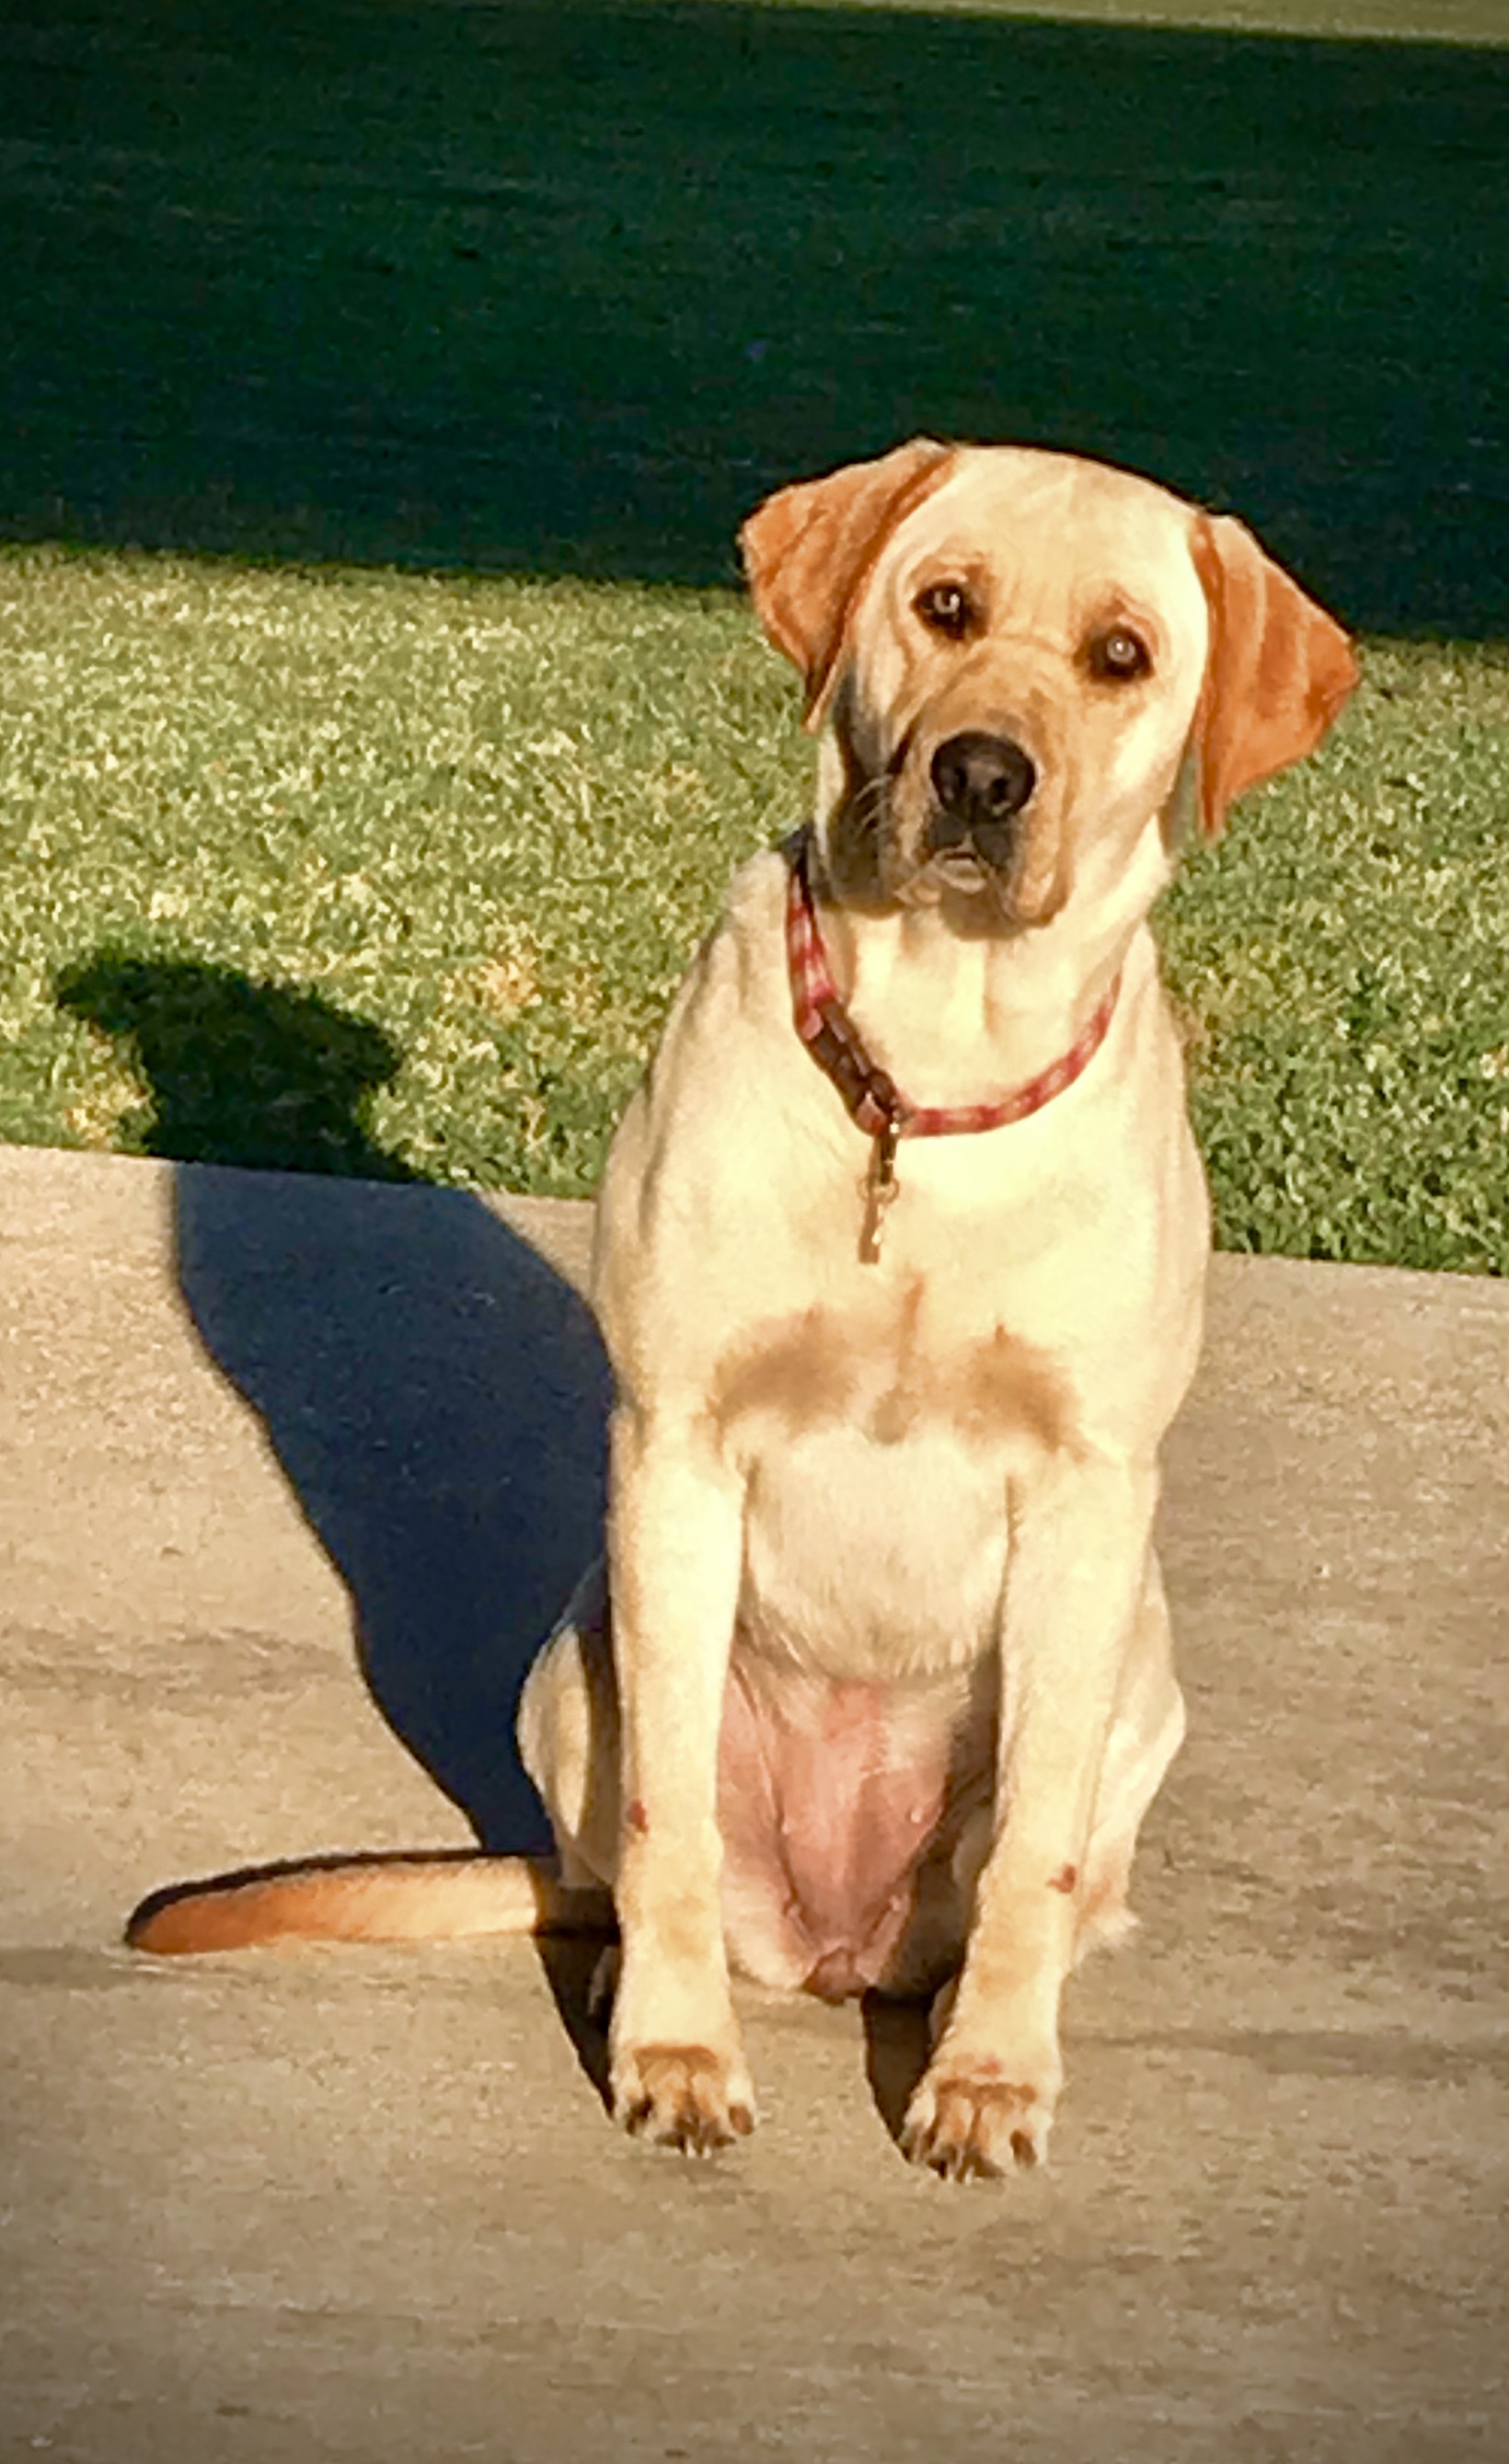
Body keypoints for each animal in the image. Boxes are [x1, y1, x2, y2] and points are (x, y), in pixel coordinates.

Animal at [127, 443, 1351, 2178]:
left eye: (1123, 655)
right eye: (944, 604)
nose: (983, 774)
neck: (927, 1082)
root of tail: (839, 1939)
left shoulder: (1091, 1488)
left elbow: (1033, 1848)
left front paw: (991, 2075)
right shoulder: (678, 1451)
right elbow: (672, 1834)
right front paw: (676, 2051)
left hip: (1141, 1670)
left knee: (1029, 1876)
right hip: (578, 1659)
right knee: (631, 1862)